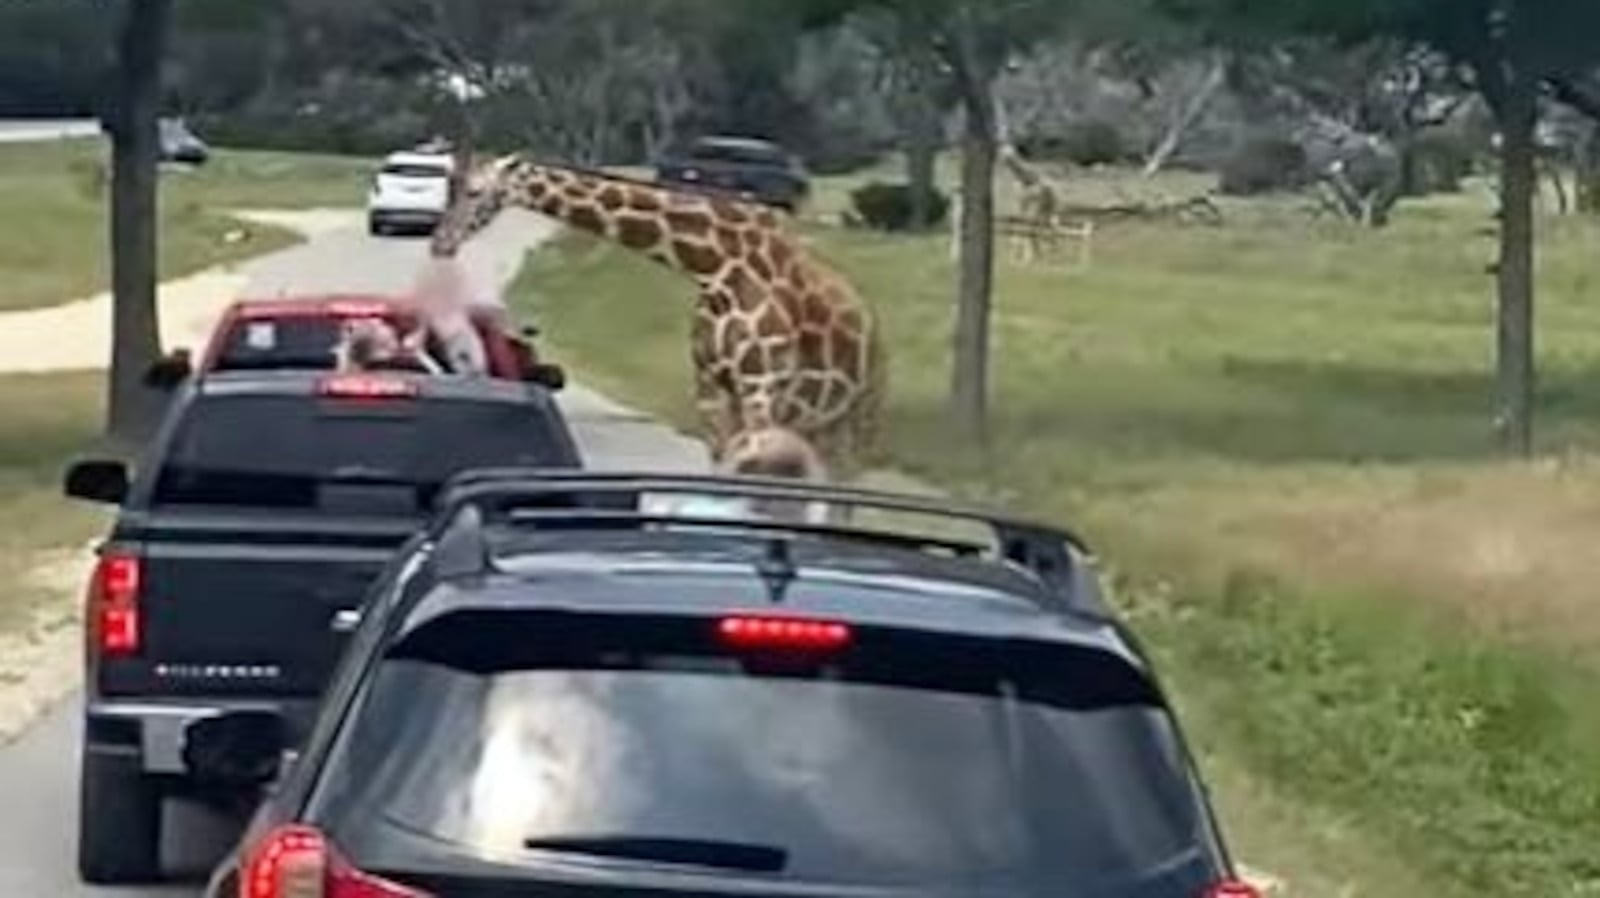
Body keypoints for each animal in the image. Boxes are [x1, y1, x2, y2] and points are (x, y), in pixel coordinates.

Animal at [429, 154, 886, 483]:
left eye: (475, 191)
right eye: (453, 188)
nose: (440, 242)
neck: (715, 266)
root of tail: (870, 322)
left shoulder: (761, 387)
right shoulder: (711, 387)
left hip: (855, 420)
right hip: (816, 423)